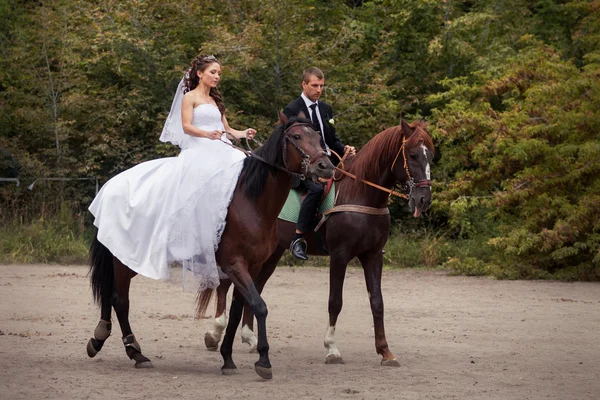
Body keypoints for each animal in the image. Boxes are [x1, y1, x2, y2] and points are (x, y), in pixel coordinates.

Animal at [86, 114, 336, 380]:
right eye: (297, 137)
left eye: (318, 136)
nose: (326, 166)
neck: (251, 201)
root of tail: (112, 184)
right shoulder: (235, 264)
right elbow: (259, 306)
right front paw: (263, 361)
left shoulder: (252, 267)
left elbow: (238, 310)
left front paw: (228, 359)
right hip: (125, 259)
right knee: (119, 299)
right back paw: (135, 352)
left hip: (128, 258)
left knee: (110, 295)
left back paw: (101, 339)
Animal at [204, 120, 434, 368]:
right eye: (412, 155)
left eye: (431, 155)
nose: (423, 199)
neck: (360, 194)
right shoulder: (340, 255)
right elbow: (335, 301)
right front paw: (332, 348)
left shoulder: (373, 255)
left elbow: (377, 302)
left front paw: (385, 351)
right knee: (224, 285)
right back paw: (215, 334)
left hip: (270, 254)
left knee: (255, 286)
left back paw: (249, 337)